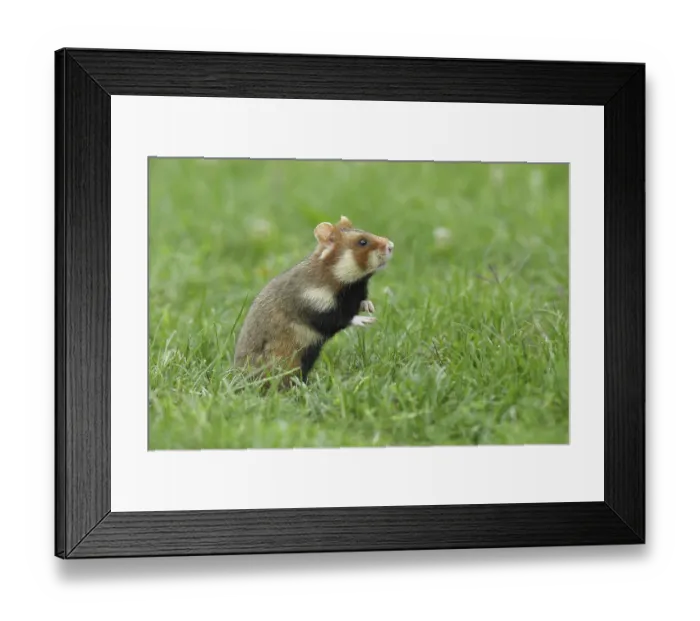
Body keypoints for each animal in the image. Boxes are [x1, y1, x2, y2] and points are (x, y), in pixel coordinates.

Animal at [233, 215, 394, 385]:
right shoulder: (314, 307)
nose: (391, 245)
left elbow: (360, 303)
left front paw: (369, 307)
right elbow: (342, 318)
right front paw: (366, 320)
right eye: (362, 242)